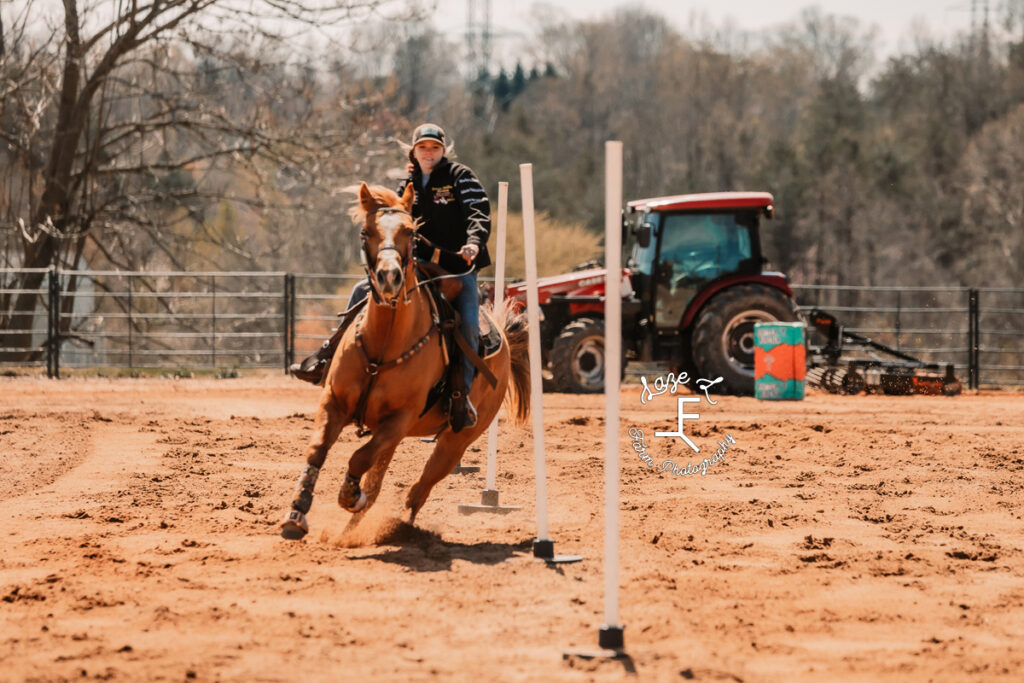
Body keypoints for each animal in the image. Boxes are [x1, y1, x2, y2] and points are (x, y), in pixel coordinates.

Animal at [282, 181, 532, 540]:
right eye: (365, 232)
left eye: (411, 232)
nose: (389, 277)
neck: (384, 345)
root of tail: (505, 340)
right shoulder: (335, 402)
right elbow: (317, 450)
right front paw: (297, 513)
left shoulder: (398, 420)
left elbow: (358, 459)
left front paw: (349, 495)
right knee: (381, 484)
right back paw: (350, 530)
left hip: (456, 440)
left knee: (421, 486)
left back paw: (397, 526)